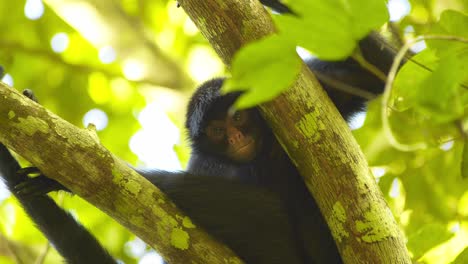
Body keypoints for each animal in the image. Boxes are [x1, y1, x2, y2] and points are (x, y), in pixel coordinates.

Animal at [0, 1, 402, 262]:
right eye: (217, 130)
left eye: (238, 119)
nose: (238, 138)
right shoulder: (203, 162)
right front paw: (59, 178)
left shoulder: (318, 87)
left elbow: (380, 74)